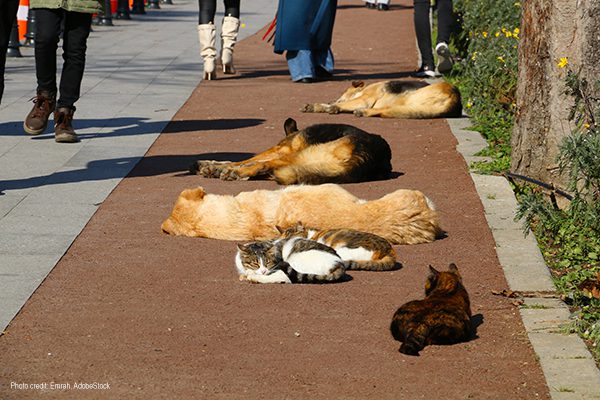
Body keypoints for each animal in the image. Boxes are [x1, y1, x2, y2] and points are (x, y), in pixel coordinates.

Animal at [190, 118, 392, 185]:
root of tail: (371, 159)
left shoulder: (283, 147)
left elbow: (248, 159)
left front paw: (217, 166)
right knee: (272, 170)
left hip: (296, 155)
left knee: (265, 164)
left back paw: (236, 172)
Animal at [302, 79, 462, 119]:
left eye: (343, 92)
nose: (332, 101)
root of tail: (454, 97)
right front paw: (317, 106)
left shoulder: (365, 99)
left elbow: (347, 103)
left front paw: (332, 107)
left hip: (405, 98)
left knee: (384, 109)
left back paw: (364, 112)